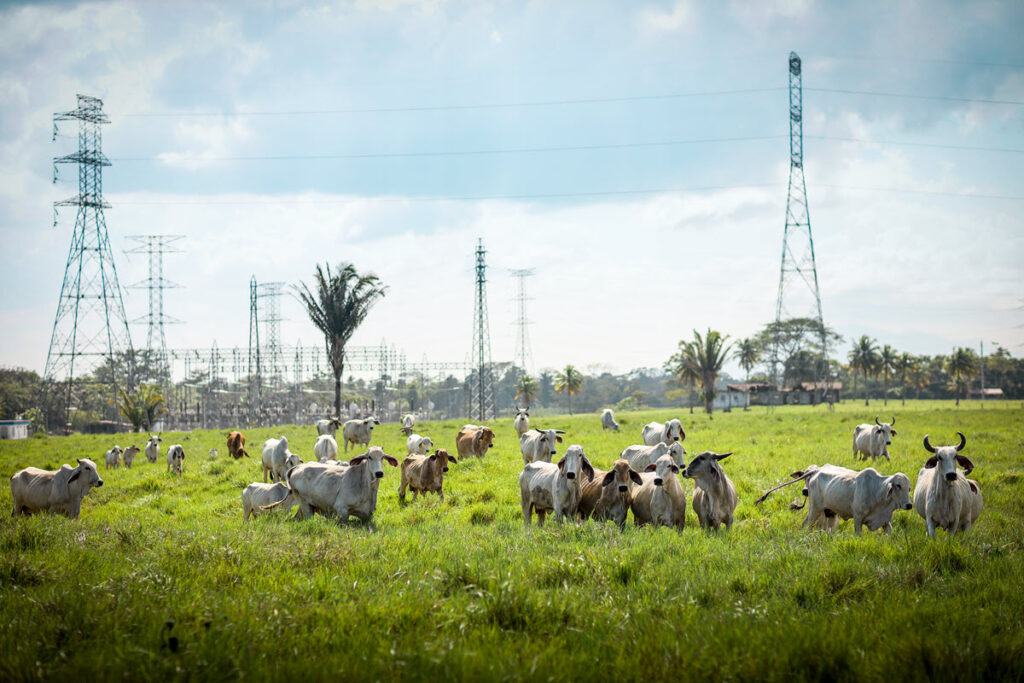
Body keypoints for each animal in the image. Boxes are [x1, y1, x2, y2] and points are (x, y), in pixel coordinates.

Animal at [264, 448, 399, 524]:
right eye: (369, 457)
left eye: (382, 457)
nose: (379, 473)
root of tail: (296, 467)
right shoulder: (342, 509)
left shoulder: (368, 515)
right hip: (305, 505)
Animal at [753, 464, 913, 532]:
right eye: (898, 485)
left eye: (909, 488)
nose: (909, 505)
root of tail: (816, 471)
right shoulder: (858, 519)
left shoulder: (885, 520)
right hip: (814, 509)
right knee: (806, 525)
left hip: (829, 512)